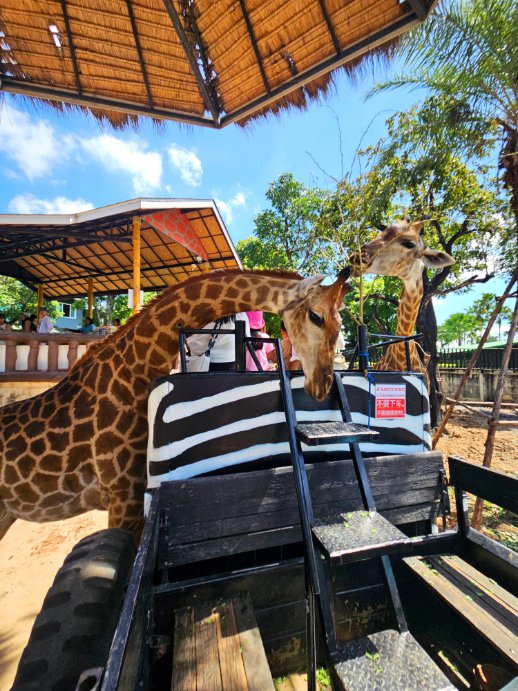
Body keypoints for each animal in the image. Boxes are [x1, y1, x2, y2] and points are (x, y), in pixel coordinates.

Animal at [0, 268, 352, 544]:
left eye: (341, 326)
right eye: (316, 316)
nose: (321, 386)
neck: (135, 369)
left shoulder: (131, 497)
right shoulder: (123, 496)